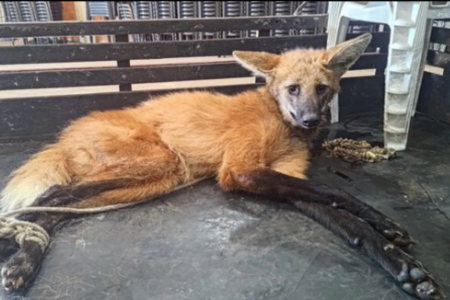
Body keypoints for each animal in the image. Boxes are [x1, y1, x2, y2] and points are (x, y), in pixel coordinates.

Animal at [0, 33, 442, 300]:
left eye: (322, 90)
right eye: (292, 89)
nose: (310, 122)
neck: (278, 122)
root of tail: (64, 135)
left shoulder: (286, 176)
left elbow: (346, 221)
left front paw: (400, 262)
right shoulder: (240, 170)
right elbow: (334, 192)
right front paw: (386, 225)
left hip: (154, 180)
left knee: (56, 209)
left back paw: (24, 256)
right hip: (159, 165)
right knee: (53, 193)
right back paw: (17, 248)